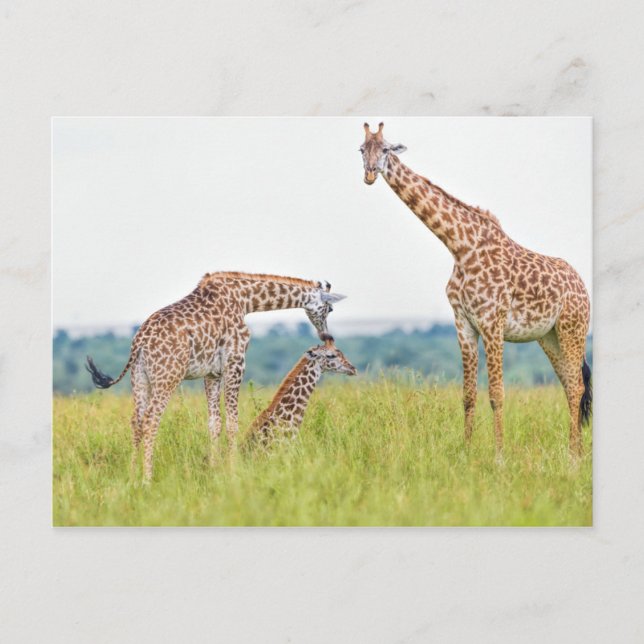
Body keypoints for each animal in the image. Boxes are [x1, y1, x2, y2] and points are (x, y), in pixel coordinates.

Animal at [86, 271, 347, 479]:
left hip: (139, 378)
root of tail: (139, 342)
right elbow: (232, 422)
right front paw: (234, 468)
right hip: (167, 377)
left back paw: (131, 475)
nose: (327, 336)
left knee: (136, 421)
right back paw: (147, 479)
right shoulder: (235, 362)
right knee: (151, 421)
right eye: (330, 308)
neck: (245, 300)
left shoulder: (211, 372)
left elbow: (214, 423)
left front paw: (214, 468)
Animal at [359, 122, 591, 457]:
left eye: (387, 149)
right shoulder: (464, 323)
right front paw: (466, 453)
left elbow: (497, 394)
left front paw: (499, 456)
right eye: (361, 149)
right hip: (549, 337)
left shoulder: (492, 323)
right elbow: (468, 395)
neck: (460, 247)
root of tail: (582, 285)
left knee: (577, 387)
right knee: (570, 385)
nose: (369, 174)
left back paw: (574, 457)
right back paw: (577, 452)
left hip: (572, 329)